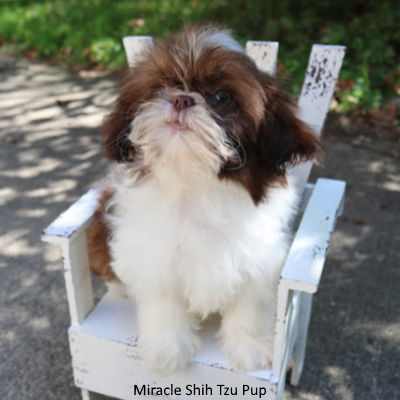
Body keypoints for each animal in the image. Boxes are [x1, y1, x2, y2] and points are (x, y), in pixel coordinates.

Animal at [86, 25, 318, 374]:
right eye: (161, 87)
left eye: (221, 98)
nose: (181, 98)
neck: (194, 184)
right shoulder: (154, 254)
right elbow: (163, 300)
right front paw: (167, 349)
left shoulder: (257, 255)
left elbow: (249, 302)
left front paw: (249, 347)